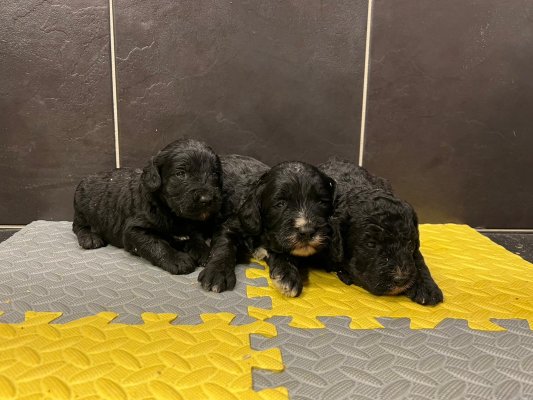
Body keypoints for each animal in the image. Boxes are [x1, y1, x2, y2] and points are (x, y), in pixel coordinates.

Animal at [73, 138, 222, 274]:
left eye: (214, 173)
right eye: (181, 174)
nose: (207, 199)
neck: (171, 213)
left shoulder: (192, 224)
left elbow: (196, 236)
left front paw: (203, 251)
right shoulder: (133, 230)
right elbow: (156, 244)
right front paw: (177, 259)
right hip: (81, 209)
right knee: (78, 226)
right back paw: (90, 238)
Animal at [199, 161, 336, 297]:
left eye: (322, 202)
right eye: (280, 204)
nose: (307, 231)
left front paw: (288, 275)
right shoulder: (231, 225)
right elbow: (223, 247)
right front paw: (217, 273)